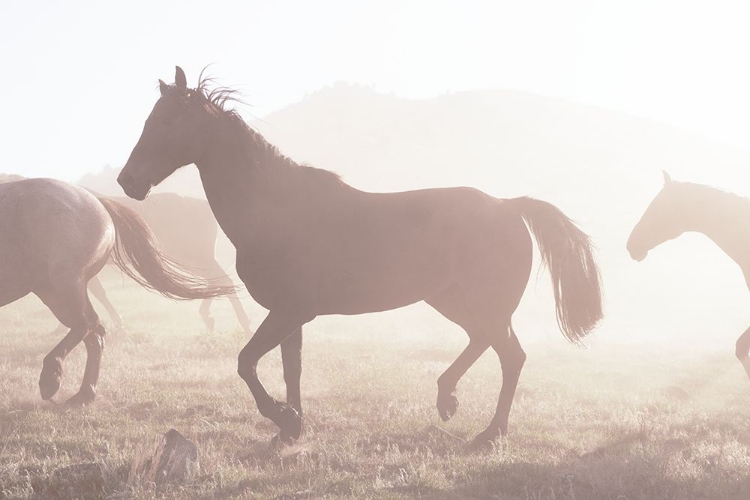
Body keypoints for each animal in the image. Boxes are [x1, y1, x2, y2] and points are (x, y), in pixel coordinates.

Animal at [0, 179, 235, 406]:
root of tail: (98, 201)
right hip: (54, 292)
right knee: (94, 334)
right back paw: (83, 394)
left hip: (64, 286)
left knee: (88, 324)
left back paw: (52, 378)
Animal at [116, 67, 604, 450]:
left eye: (167, 120)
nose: (127, 181)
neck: (276, 210)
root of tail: (508, 205)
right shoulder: (290, 315)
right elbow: (290, 370)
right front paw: (291, 428)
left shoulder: (290, 311)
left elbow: (246, 362)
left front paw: (284, 418)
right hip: (451, 301)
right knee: (487, 343)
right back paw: (448, 400)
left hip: (482, 305)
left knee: (511, 356)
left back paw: (488, 431)